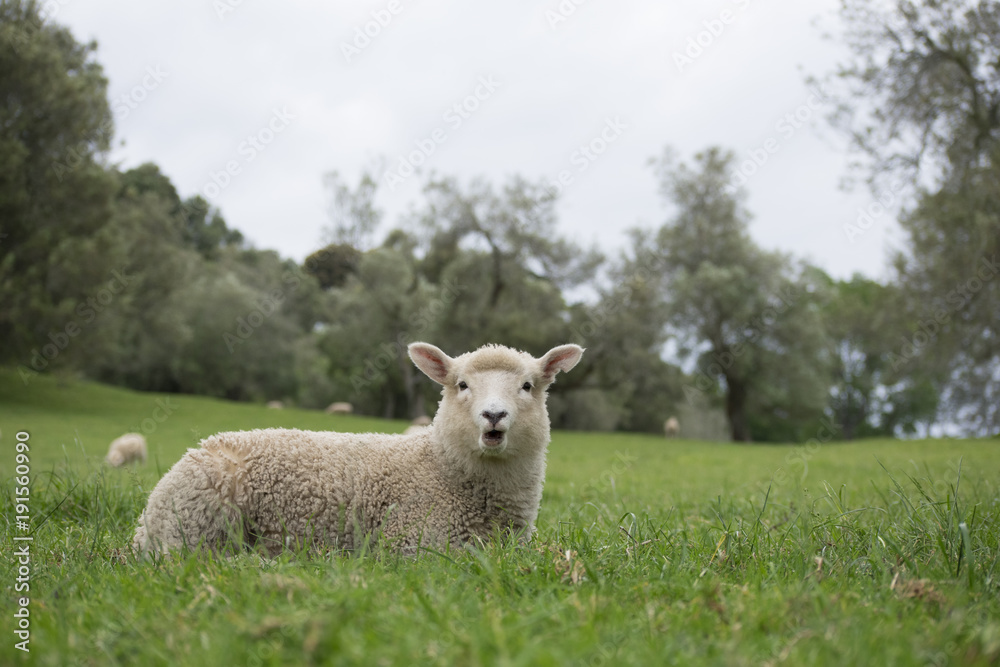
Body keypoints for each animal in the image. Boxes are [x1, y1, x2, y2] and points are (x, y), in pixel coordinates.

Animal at [132, 341, 584, 556]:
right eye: (461, 385)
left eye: (527, 386)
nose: (493, 415)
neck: (442, 468)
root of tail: (146, 519)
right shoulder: (415, 542)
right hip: (200, 522)